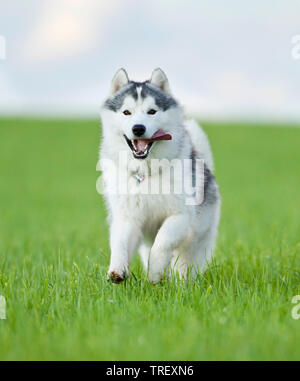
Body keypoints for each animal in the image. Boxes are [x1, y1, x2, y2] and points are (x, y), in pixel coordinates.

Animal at [98, 67, 220, 282]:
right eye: (126, 112)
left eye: (152, 111)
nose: (138, 128)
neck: (146, 170)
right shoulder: (127, 218)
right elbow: (120, 244)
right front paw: (117, 270)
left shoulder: (180, 216)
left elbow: (162, 242)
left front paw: (155, 272)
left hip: (196, 239)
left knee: (185, 263)